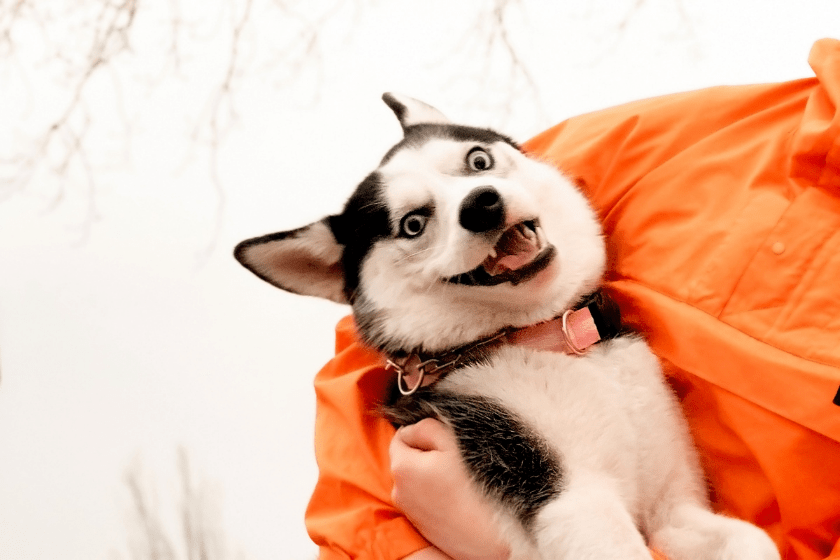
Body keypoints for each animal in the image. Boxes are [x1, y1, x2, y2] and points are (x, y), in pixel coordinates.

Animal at [231, 94, 780, 556]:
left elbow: (752, 541)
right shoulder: (570, 499)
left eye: (478, 161)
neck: (552, 338)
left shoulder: (675, 507)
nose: (482, 204)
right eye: (413, 224)